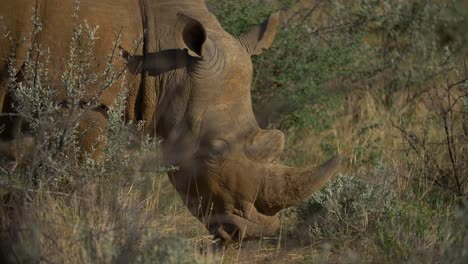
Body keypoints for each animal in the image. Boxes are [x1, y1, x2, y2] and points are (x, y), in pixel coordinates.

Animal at [1, 0, 342, 242]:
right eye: (214, 151)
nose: (255, 234)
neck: (162, 58)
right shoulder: (77, 97)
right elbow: (76, 176)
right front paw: (73, 226)